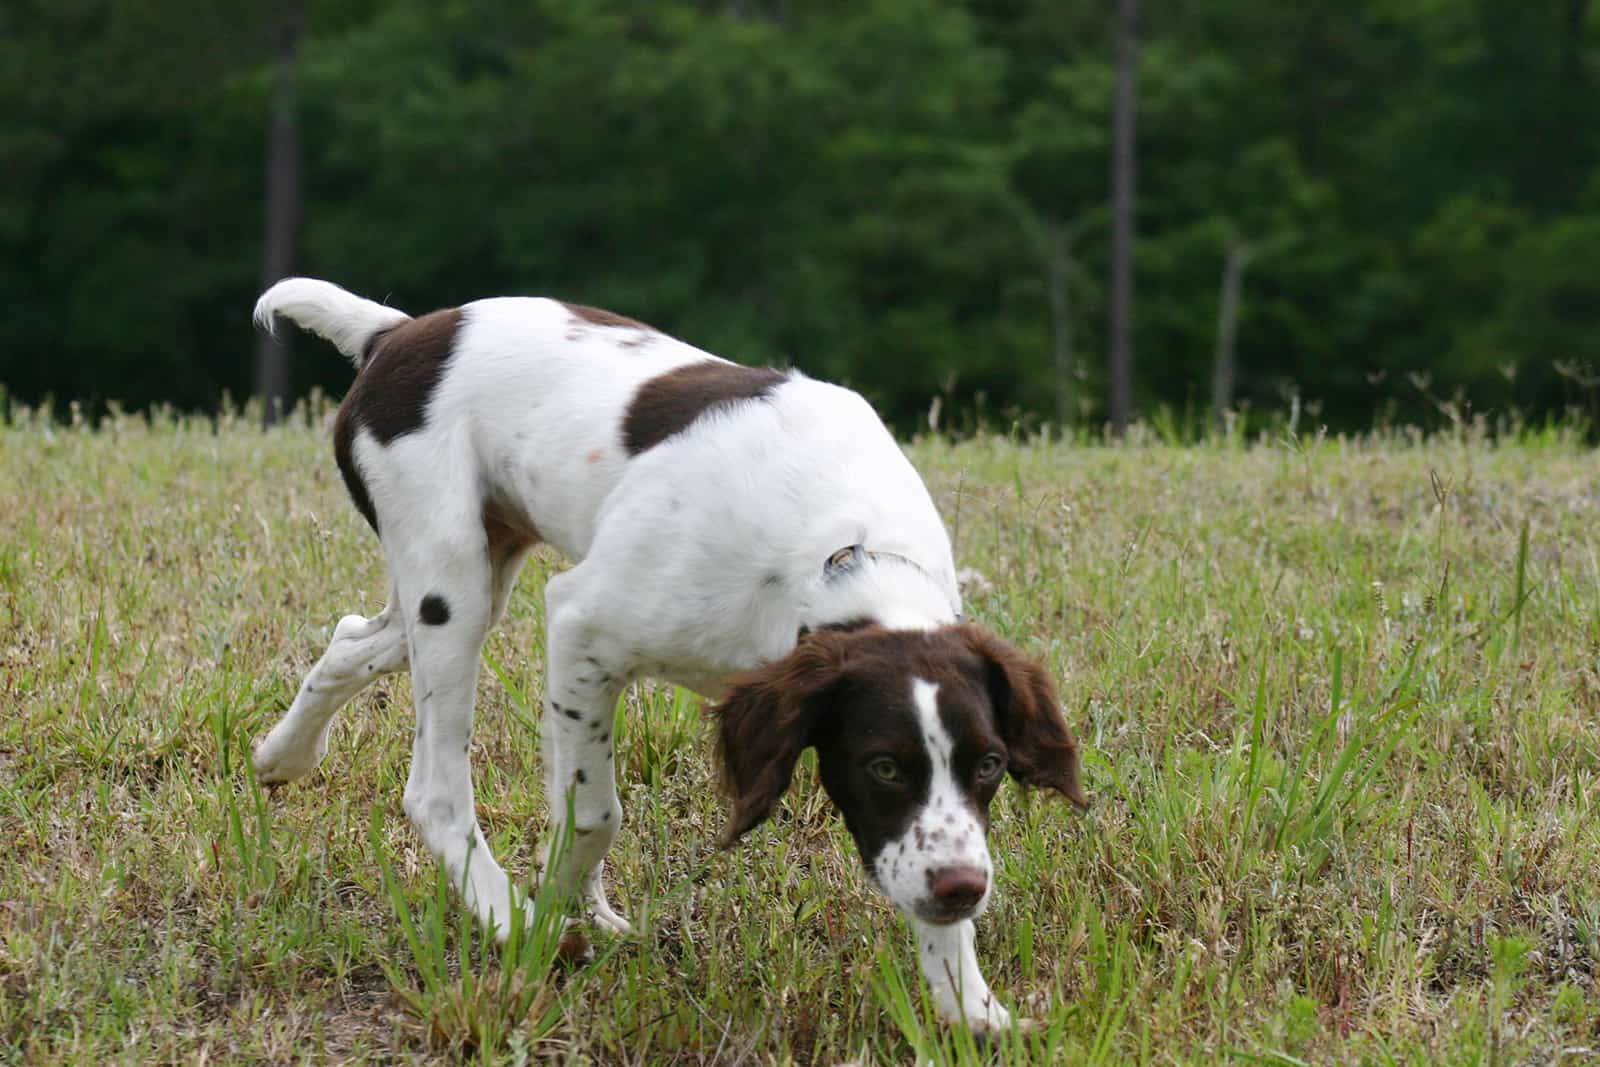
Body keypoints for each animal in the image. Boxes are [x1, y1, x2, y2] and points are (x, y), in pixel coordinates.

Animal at [249, 278, 1094, 1036]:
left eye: (990, 764)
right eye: (883, 765)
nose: (963, 890)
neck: (838, 548)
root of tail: (397, 332)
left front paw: (971, 1007)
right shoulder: (582, 625)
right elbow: (596, 812)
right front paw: (552, 921)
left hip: (472, 576)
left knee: (350, 637)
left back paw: (280, 755)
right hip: (449, 584)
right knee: (434, 791)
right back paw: (505, 913)